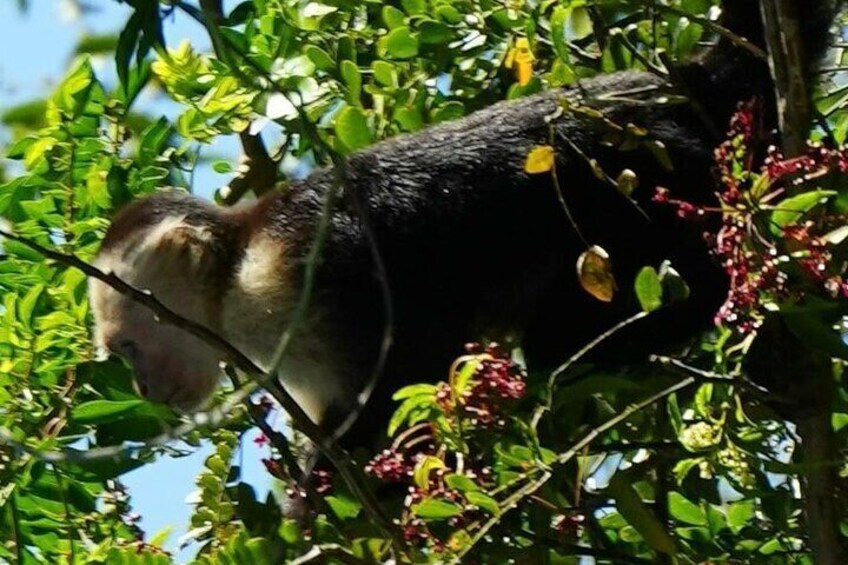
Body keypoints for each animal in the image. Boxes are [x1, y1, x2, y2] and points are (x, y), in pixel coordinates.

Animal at [88, 0, 836, 446]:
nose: (145, 390)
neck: (232, 264)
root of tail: (679, 86)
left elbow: (408, 352)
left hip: (662, 176)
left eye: (127, 349)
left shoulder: (280, 279)